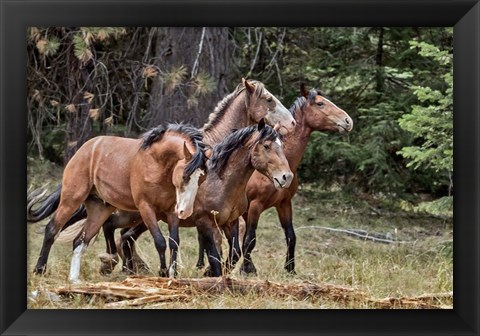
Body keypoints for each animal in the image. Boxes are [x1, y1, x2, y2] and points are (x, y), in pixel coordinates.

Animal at [29, 122, 206, 280]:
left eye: (202, 179)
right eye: (185, 176)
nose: (186, 212)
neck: (157, 163)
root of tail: (83, 150)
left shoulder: (171, 211)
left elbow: (174, 242)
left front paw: (173, 275)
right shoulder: (146, 208)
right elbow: (160, 241)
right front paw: (163, 273)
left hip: (100, 209)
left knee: (80, 240)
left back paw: (74, 279)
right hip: (71, 200)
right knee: (52, 229)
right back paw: (40, 270)